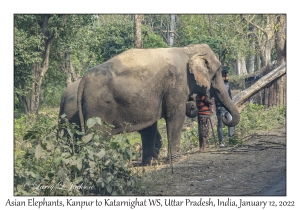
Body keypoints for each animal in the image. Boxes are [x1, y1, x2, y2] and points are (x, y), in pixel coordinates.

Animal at [78, 44, 241, 166]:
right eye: (217, 71)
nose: (225, 117)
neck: (187, 50)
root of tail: (83, 80)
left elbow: (150, 126)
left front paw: (149, 163)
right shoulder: (176, 85)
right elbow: (175, 117)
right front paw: (175, 159)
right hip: (96, 110)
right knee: (97, 138)